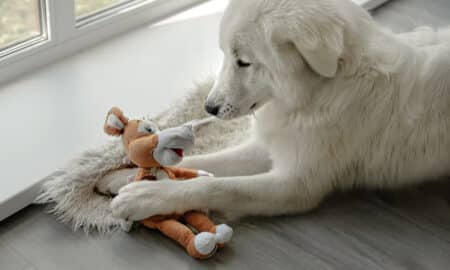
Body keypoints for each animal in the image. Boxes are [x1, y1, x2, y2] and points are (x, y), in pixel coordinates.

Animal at [106, 0, 450, 220]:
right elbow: (204, 162)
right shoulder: (274, 142)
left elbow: (215, 185)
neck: (323, 89)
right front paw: (126, 176)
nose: (208, 107)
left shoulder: (294, 184)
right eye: (225, 54)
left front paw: (147, 197)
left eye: (243, 62)